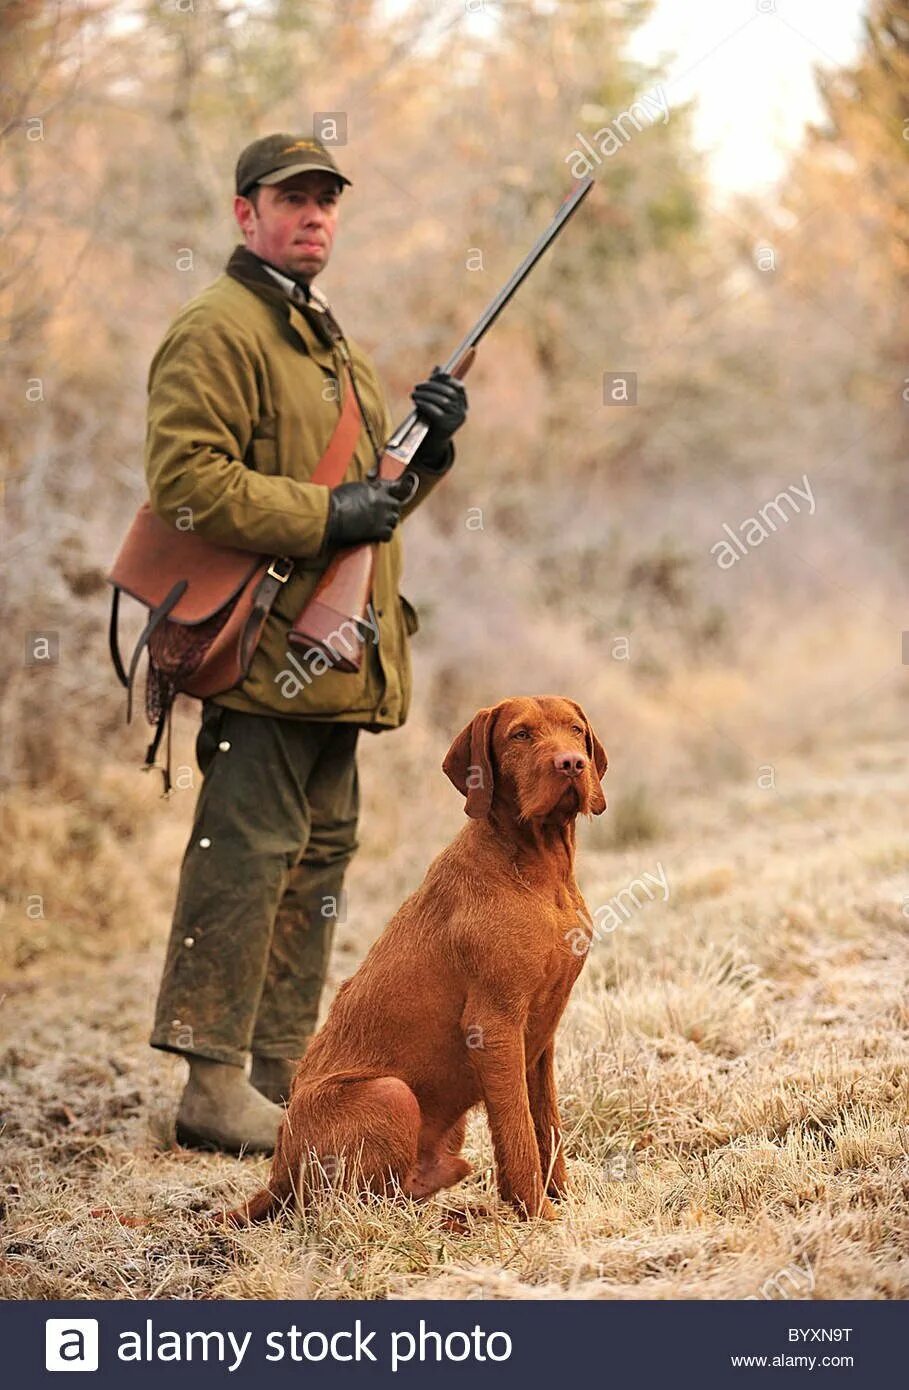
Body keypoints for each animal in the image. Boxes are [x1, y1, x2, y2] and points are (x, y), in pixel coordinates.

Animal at [223, 700, 608, 1223]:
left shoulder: (542, 1034)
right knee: (348, 1206)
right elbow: (519, 1134)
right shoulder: (495, 1026)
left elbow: (547, 1128)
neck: (539, 870)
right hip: (391, 1094)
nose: (571, 763)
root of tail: (276, 1174)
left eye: (575, 730)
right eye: (520, 735)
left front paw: (564, 1201)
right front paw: (539, 1217)